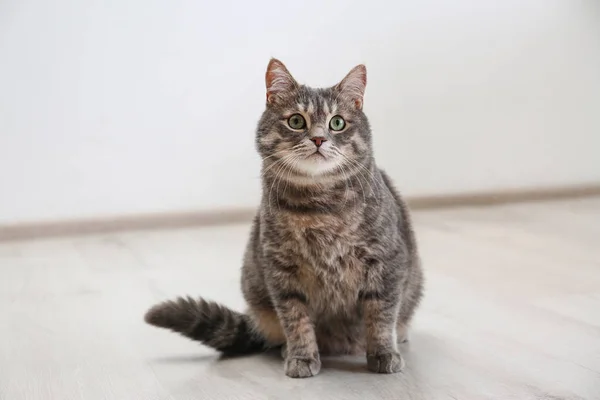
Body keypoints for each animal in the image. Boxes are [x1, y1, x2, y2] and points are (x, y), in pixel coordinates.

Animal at [144, 59, 426, 378]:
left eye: (337, 122)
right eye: (296, 121)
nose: (318, 138)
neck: (321, 208)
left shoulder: (386, 262)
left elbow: (381, 315)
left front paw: (383, 353)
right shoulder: (282, 270)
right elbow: (296, 320)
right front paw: (302, 357)